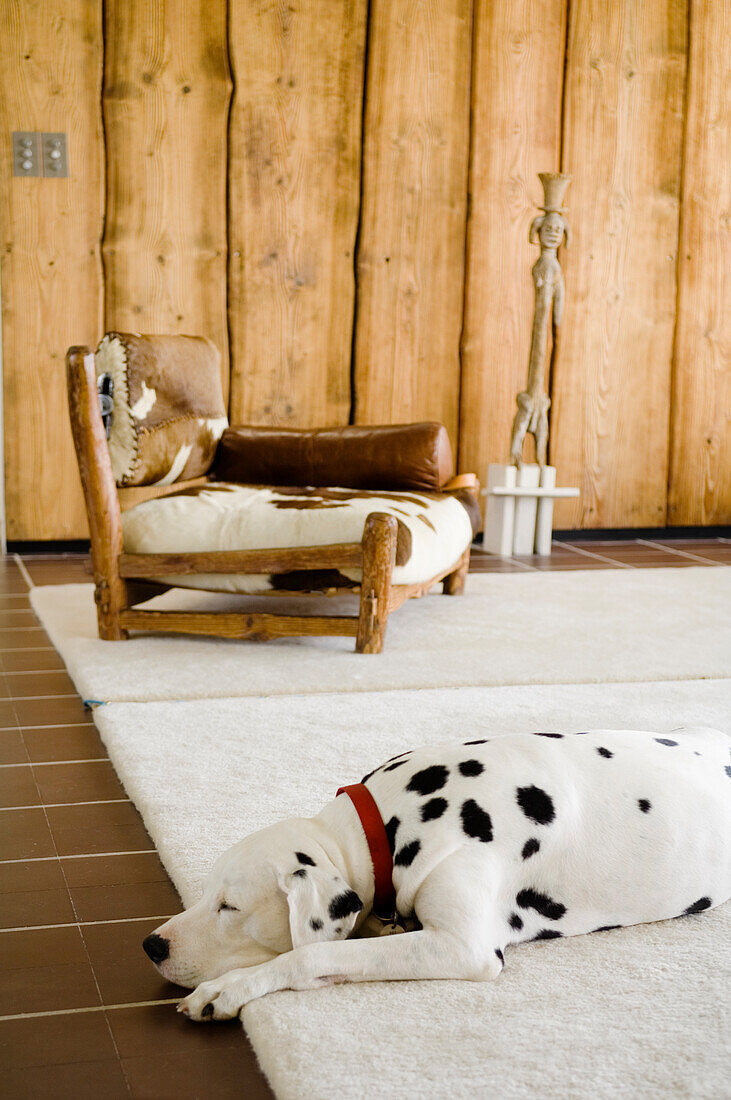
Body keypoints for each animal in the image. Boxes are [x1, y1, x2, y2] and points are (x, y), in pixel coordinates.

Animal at [142, 721, 729, 1020]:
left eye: (230, 907)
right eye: (204, 894)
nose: (151, 945)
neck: (386, 827)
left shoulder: (461, 947)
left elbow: (312, 953)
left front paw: (231, 988)